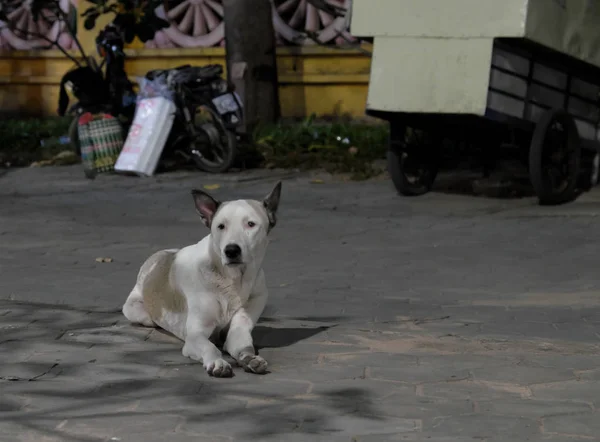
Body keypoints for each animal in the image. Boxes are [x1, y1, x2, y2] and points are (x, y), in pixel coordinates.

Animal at [122, 181, 284, 378]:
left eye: (251, 224)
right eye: (221, 226)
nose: (231, 250)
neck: (232, 280)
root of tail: (158, 254)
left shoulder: (239, 329)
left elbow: (243, 346)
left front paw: (249, 359)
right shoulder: (195, 336)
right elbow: (209, 347)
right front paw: (217, 362)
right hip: (139, 312)